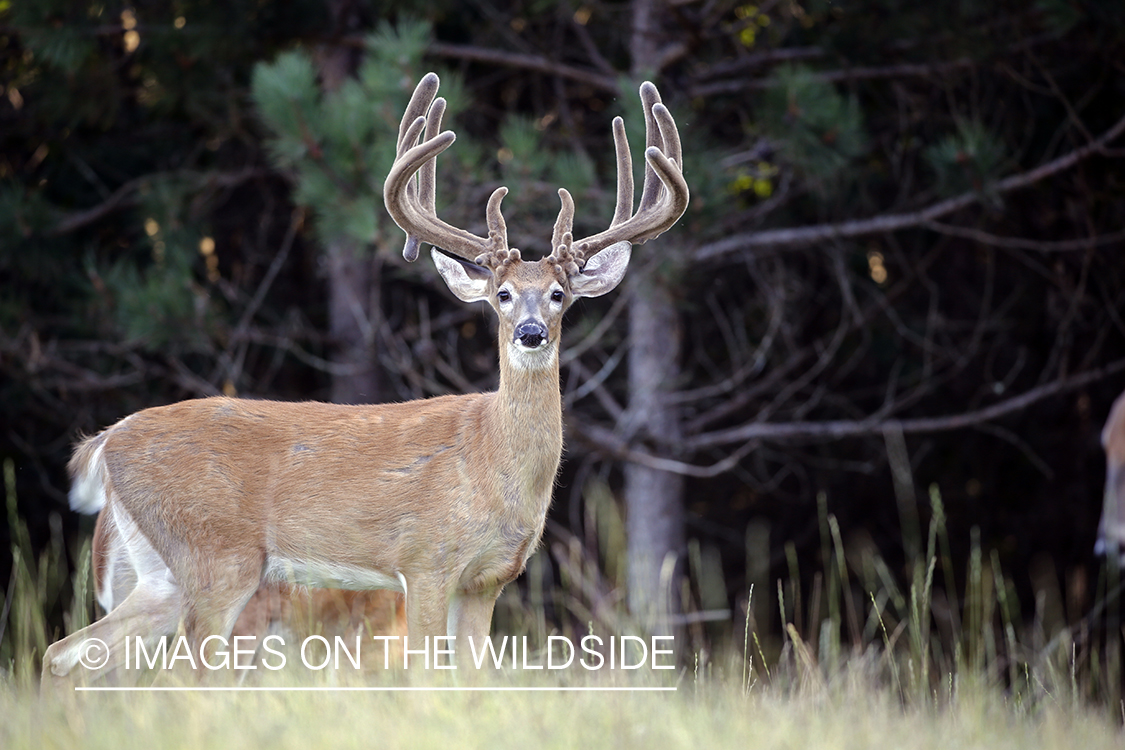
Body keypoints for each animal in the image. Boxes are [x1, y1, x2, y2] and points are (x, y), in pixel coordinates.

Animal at [41, 73, 684, 683]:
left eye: (558, 295)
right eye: (502, 294)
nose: (530, 333)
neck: (490, 459)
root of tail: (107, 440)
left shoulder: (487, 580)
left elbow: (476, 681)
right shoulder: (424, 560)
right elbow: (426, 678)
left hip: (160, 575)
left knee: (66, 653)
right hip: (217, 555)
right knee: (181, 671)